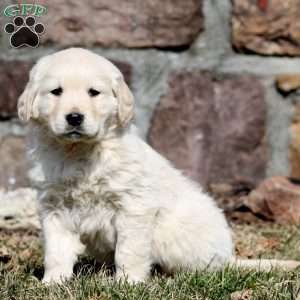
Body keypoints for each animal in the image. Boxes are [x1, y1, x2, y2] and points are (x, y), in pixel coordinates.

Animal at [17, 48, 298, 282]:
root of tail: (228, 258)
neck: (77, 152)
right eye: (56, 91)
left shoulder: (133, 207)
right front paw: (53, 283)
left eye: (93, 92)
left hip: (173, 235)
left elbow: (129, 250)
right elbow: (56, 250)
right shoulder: (54, 207)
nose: (74, 117)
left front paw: (128, 283)